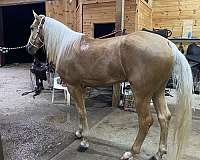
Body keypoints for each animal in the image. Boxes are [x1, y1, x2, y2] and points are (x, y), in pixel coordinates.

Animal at [25, 11, 193, 160]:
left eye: (33, 28)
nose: (28, 48)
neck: (67, 46)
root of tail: (167, 43)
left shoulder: (74, 86)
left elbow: (82, 111)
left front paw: (84, 141)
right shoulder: (81, 87)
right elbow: (80, 110)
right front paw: (80, 133)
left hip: (141, 94)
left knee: (146, 121)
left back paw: (131, 152)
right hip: (157, 91)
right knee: (164, 117)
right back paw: (159, 153)